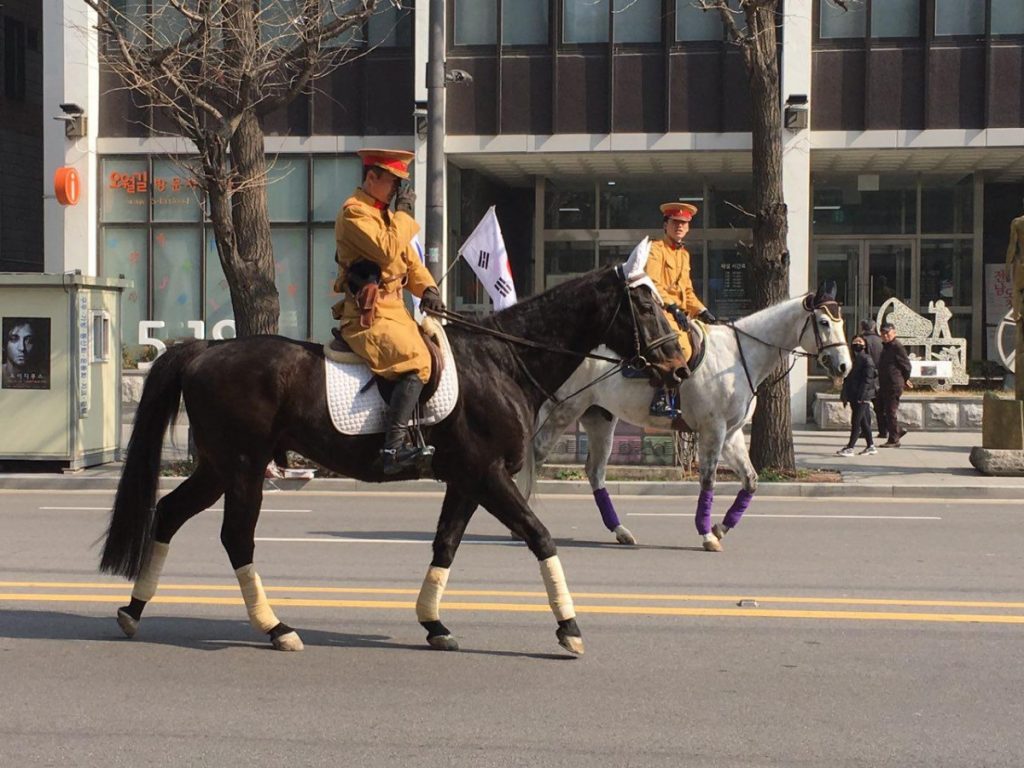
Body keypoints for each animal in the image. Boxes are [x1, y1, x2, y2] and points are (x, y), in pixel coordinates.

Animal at [99, 264, 684, 655]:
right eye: (646, 305)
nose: (679, 361)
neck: (503, 360)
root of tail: (204, 350)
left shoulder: (466, 481)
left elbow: (445, 545)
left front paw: (434, 623)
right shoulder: (489, 475)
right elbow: (539, 536)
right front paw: (569, 627)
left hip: (219, 467)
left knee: (168, 514)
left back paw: (133, 610)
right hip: (243, 467)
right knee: (236, 538)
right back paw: (275, 627)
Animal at [524, 282, 851, 552]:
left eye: (841, 322)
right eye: (824, 322)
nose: (844, 366)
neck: (737, 356)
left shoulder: (731, 435)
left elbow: (751, 481)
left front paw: (719, 528)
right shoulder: (713, 429)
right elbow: (708, 479)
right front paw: (706, 534)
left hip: (599, 418)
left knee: (594, 471)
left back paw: (620, 531)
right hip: (561, 411)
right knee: (536, 456)